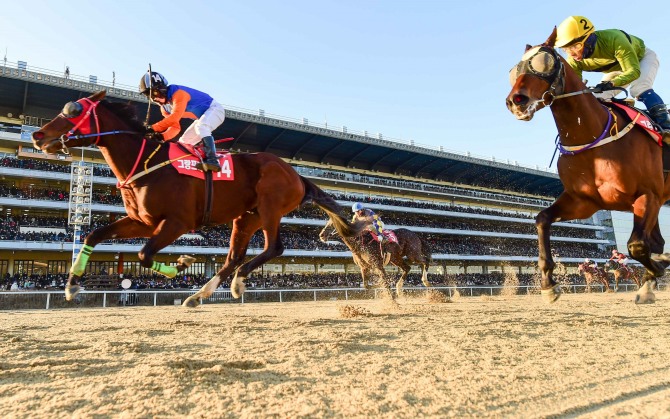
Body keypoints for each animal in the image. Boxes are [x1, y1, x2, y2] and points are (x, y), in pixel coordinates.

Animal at [31, 91, 368, 308]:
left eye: (73, 111)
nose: (37, 135)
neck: (146, 163)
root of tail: (297, 174)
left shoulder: (177, 223)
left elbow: (144, 254)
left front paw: (182, 263)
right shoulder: (143, 220)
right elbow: (95, 234)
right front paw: (72, 285)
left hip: (271, 206)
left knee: (274, 248)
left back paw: (237, 282)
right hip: (247, 217)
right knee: (234, 256)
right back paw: (200, 294)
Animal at [506, 28, 668, 306]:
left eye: (544, 63)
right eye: (514, 70)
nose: (516, 101)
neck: (592, 135)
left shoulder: (648, 195)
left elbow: (636, 245)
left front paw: (657, 268)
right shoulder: (584, 202)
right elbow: (542, 219)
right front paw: (549, 284)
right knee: (657, 241)